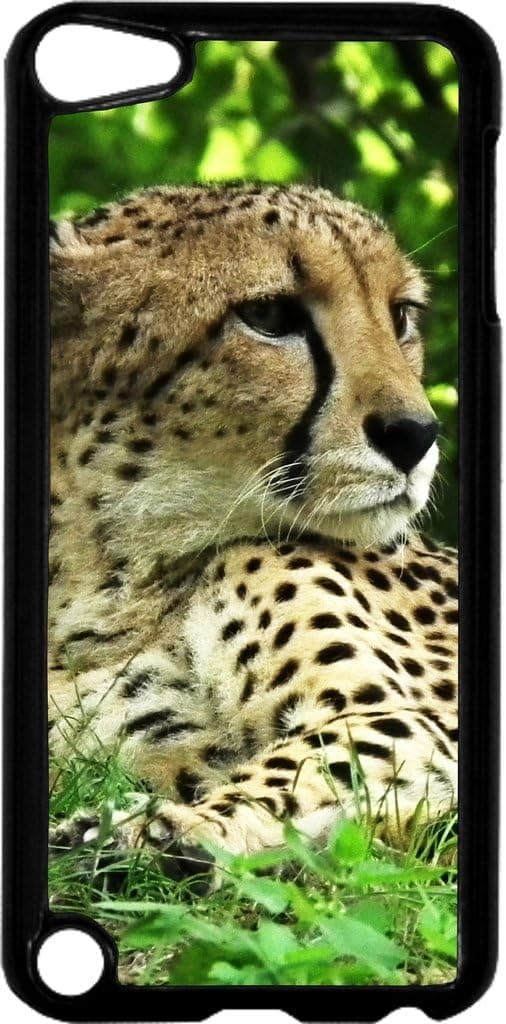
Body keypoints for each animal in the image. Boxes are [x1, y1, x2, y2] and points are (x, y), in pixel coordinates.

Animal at [48, 183, 457, 882]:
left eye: (400, 315)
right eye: (268, 315)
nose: (416, 435)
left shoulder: (414, 721)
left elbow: (307, 771)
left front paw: (154, 831)